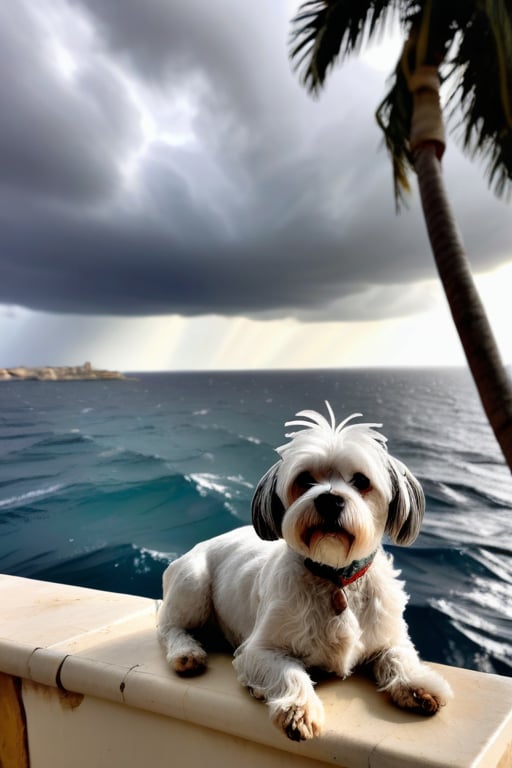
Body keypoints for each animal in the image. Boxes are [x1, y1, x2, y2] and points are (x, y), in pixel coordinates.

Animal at [159, 404, 452, 740]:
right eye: (305, 479)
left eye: (361, 481)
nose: (329, 499)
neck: (336, 577)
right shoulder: (259, 650)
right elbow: (290, 672)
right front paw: (299, 708)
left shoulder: (388, 634)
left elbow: (398, 656)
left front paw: (417, 685)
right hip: (193, 583)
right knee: (170, 628)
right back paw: (186, 652)